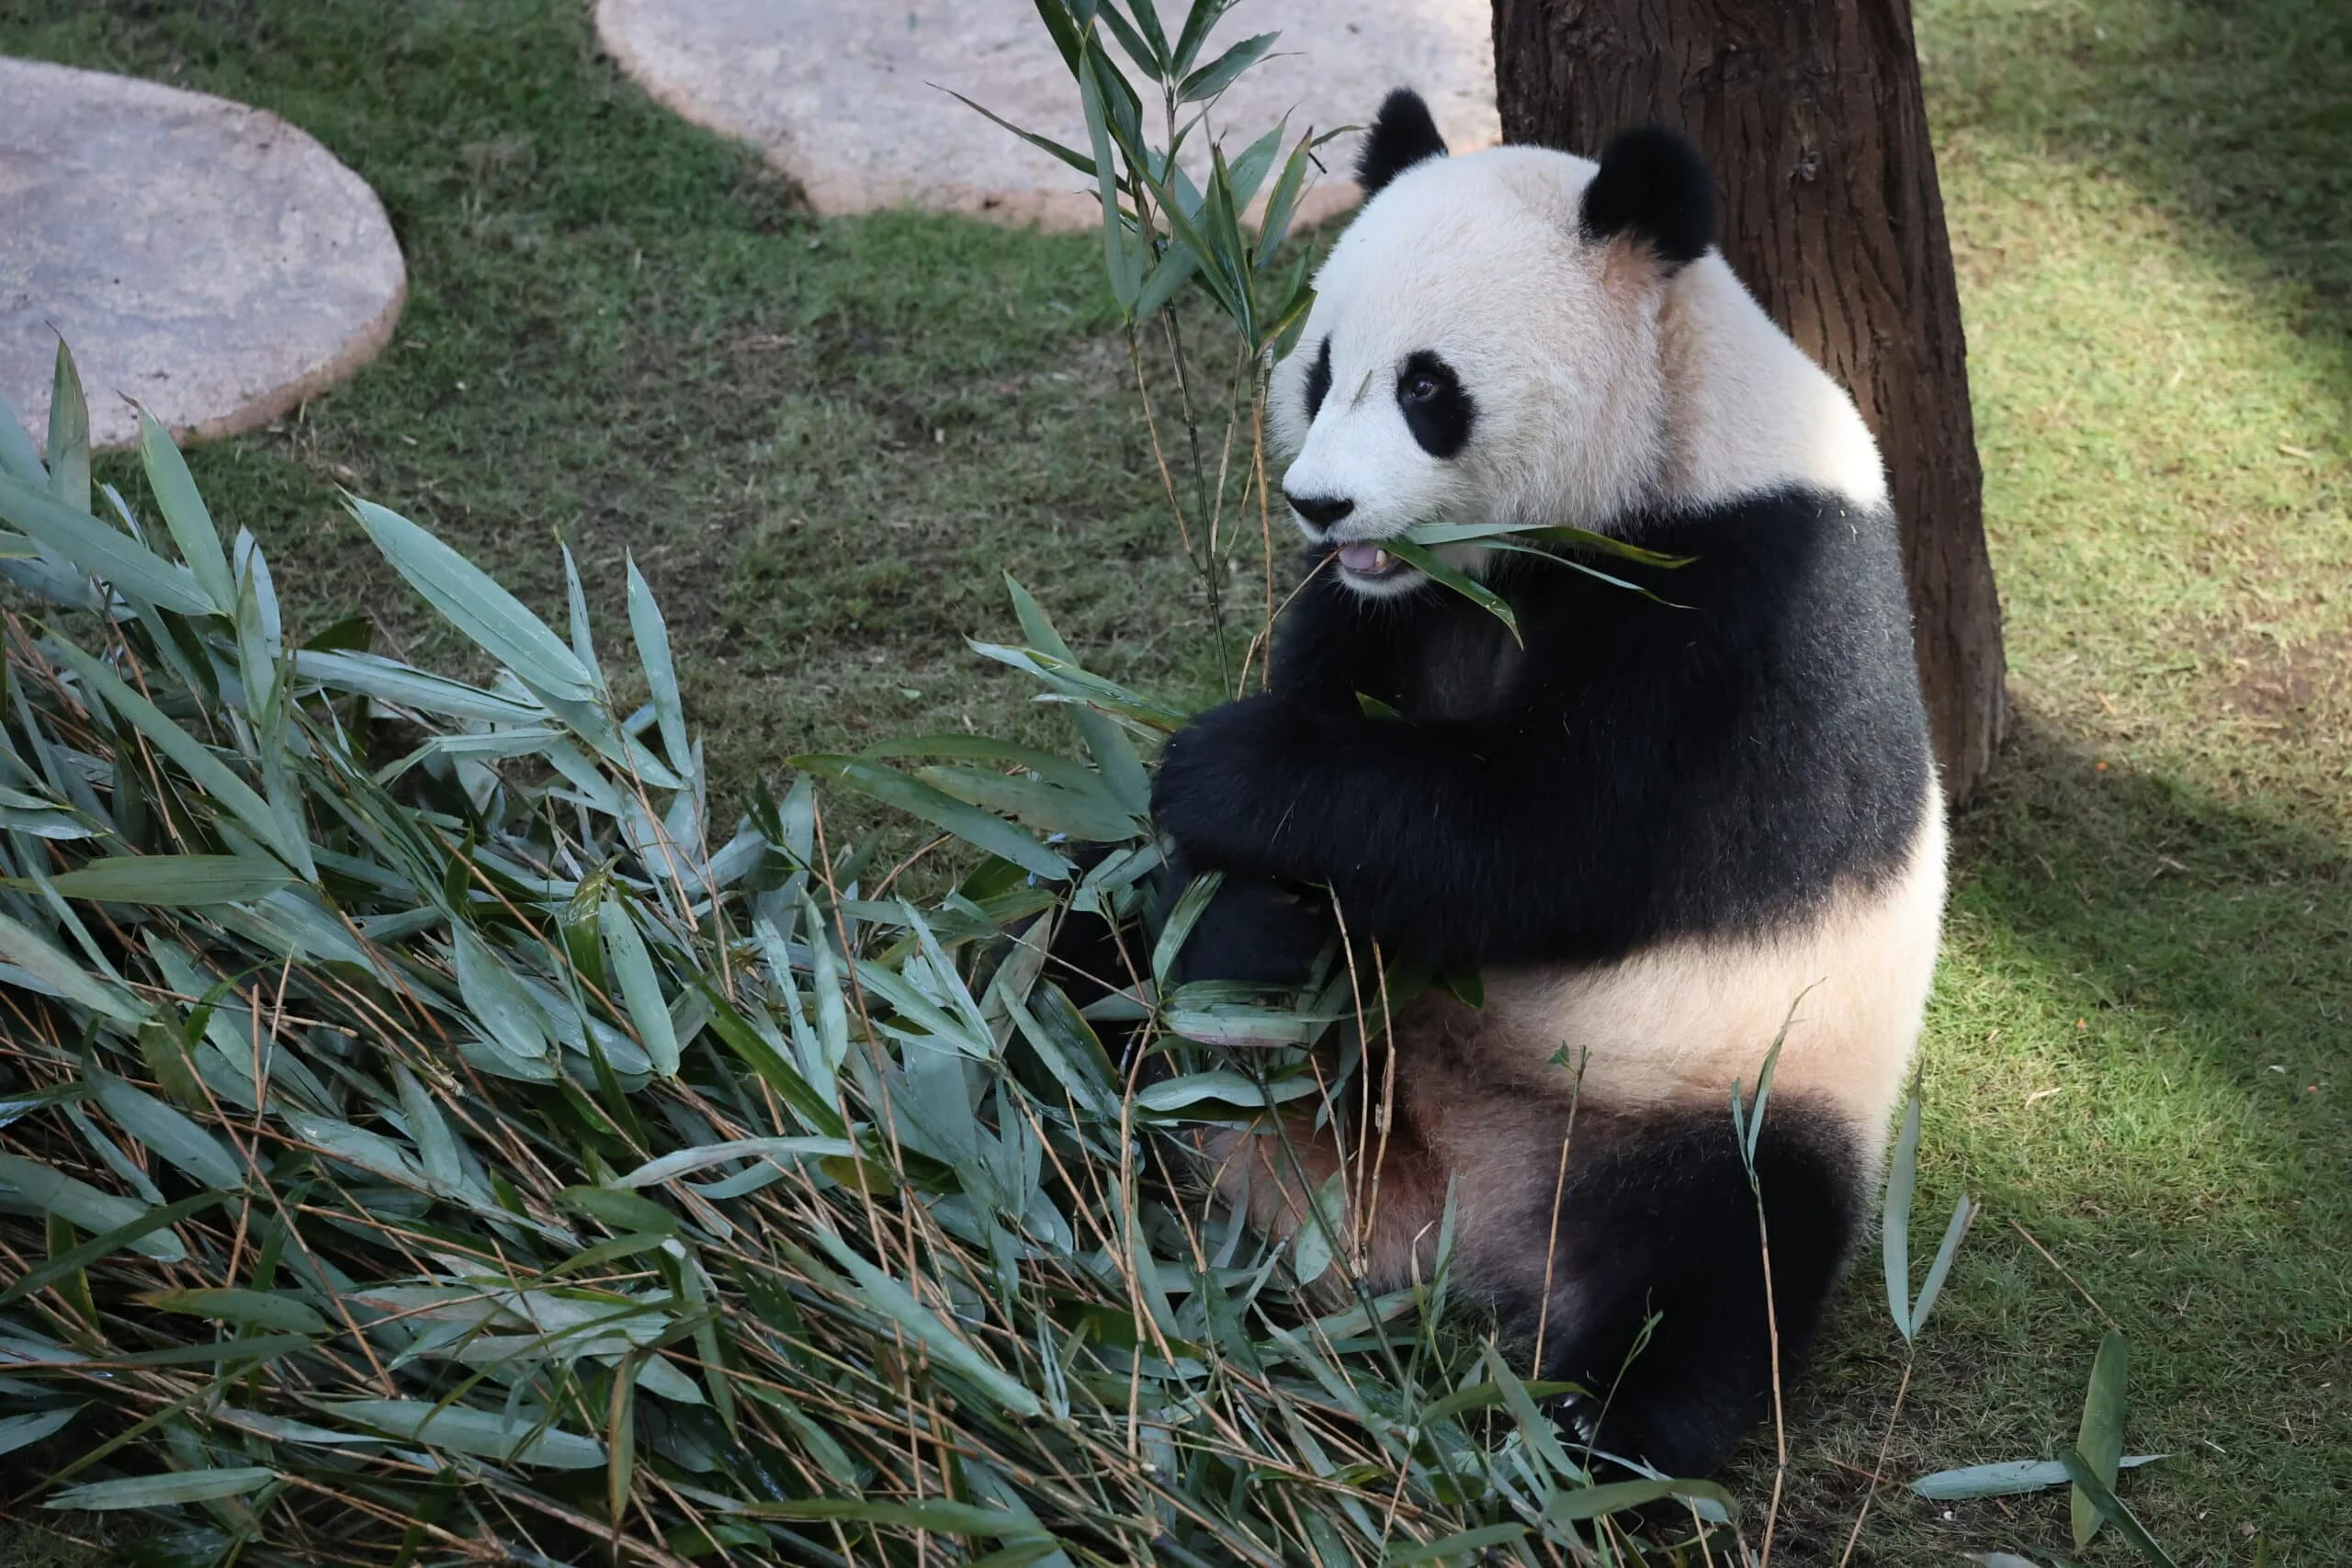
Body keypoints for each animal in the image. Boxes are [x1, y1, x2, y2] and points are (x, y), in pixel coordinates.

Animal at [1146, 89, 1947, 1478]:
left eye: (1428, 387)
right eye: (1321, 367)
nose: (1318, 504)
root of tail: (1435, 1221)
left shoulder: (1750, 588)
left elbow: (1567, 846)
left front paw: (1217, 764)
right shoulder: (1389, 609)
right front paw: (1255, 920)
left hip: (1728, 1087)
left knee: (1725, 1253)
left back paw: (1598, 1422)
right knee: (1090, 961)